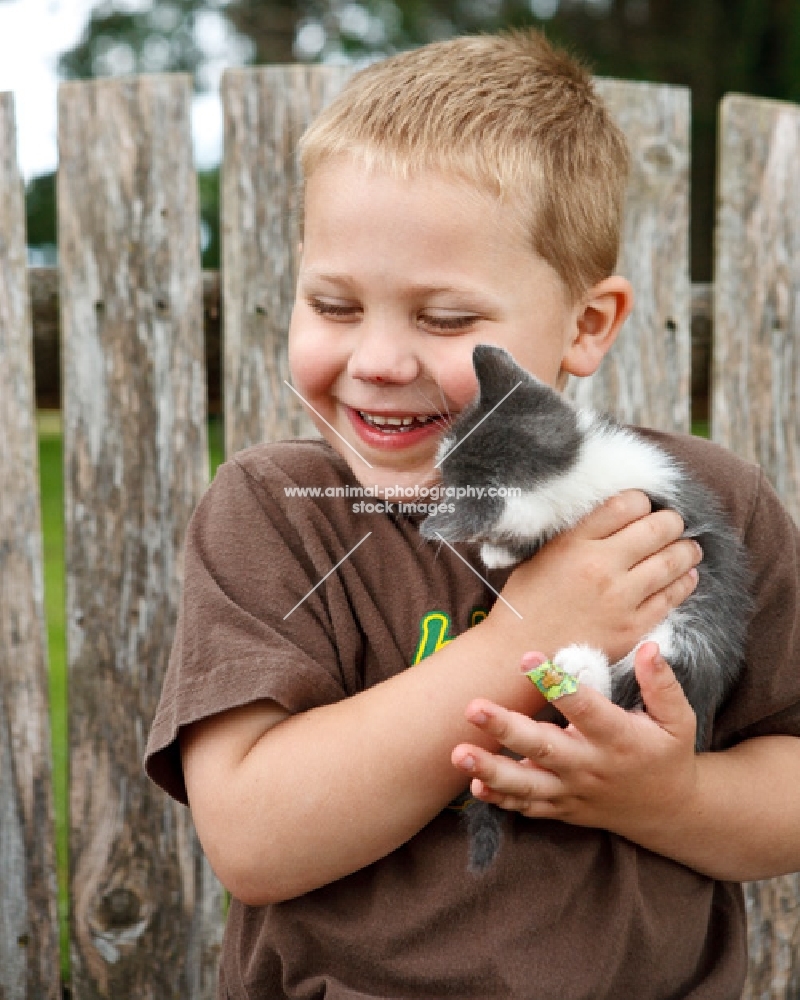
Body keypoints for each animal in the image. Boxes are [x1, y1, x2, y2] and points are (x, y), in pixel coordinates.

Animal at [422, 346, 752, 876]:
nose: (430, 489)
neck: (575, 469)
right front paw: (501, 552)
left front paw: (494, 550)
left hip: (685, 639)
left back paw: (580, 670)